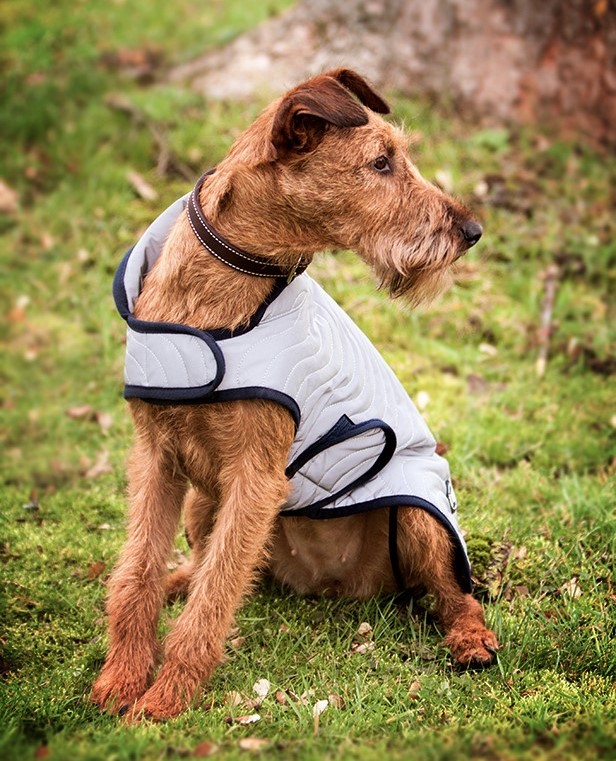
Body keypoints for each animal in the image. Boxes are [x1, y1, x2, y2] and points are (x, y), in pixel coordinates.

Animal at [91, 70, 498, 720]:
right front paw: (122, 679)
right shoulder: (156, 459)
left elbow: (210, 605)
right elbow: (137, 575)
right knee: (213, 566)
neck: (216, 296)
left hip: (419, 512)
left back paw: (471, 640)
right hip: (204, 501)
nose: (472, 232)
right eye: (381, 162)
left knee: (455, 593)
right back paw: (183, 578)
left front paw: (165, 698)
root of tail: (328, 585)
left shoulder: (255, 478)